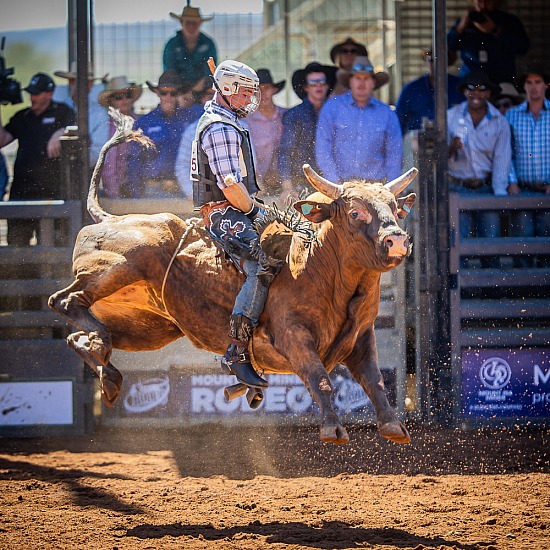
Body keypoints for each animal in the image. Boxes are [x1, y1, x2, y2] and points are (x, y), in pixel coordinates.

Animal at [49, 110, 418, 446]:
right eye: (355, 212)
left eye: (394, 208)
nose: (397, 240)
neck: (321, 267)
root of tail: (108, 218)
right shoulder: (293, 336)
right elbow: (320, 377)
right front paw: (332, 428)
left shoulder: (362, 336)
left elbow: (374, 380)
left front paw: (393, 425)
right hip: (124, 262)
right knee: (64, 301)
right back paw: (100, 349)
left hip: (149, 326)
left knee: (80, 337)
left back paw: (105, 367)